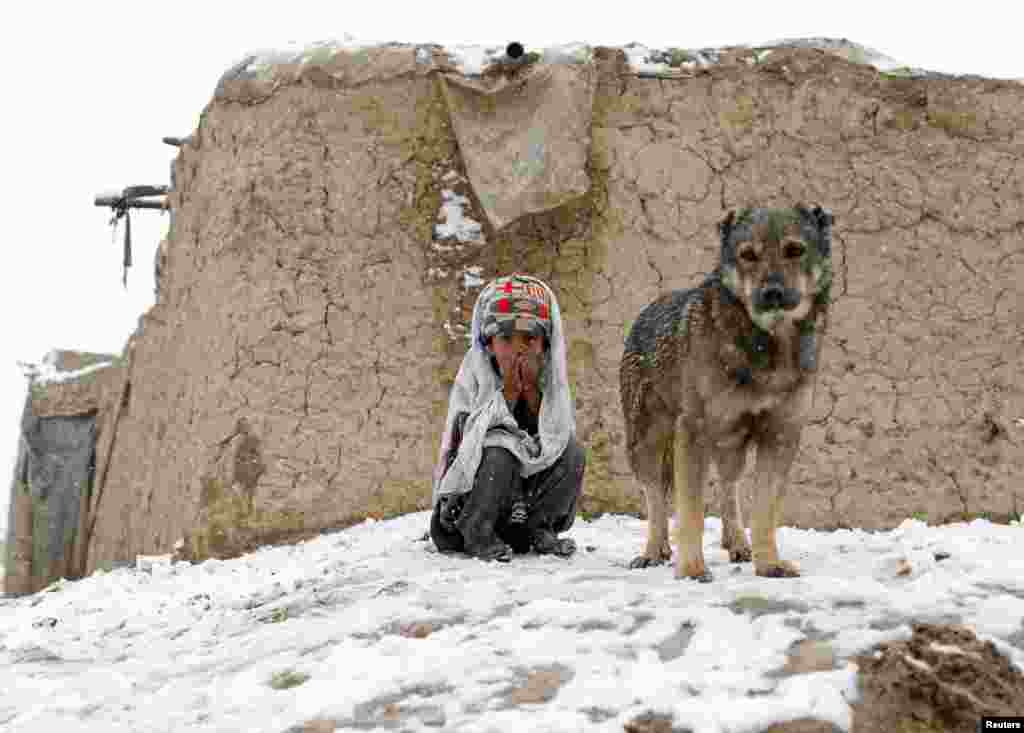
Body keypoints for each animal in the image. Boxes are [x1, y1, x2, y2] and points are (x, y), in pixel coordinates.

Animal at [618, 204, 835, 577]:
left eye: (795, 250)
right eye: (748, 255)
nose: (772, 293)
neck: (767, 344)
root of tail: (646, 311)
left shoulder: (781, 434)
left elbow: (763, 511)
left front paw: (769, 564)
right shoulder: (692, 431)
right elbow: (690, 511)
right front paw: (692, 569)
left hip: (730, 444)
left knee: (727, 487)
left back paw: (737, 543)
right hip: (646, 442)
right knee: (656, 498)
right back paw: (654, 551)